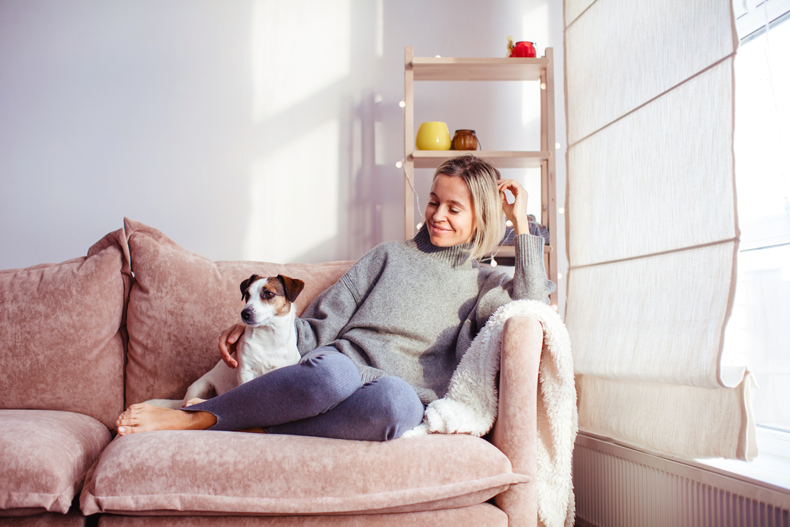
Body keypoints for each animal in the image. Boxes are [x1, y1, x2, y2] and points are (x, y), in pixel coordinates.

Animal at [147, 274, 308, 410]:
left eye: (269, 294)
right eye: (247, 295)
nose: (245, 313)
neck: (270, 338)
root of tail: (183, 399)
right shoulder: (246, 371)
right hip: (201, 386)